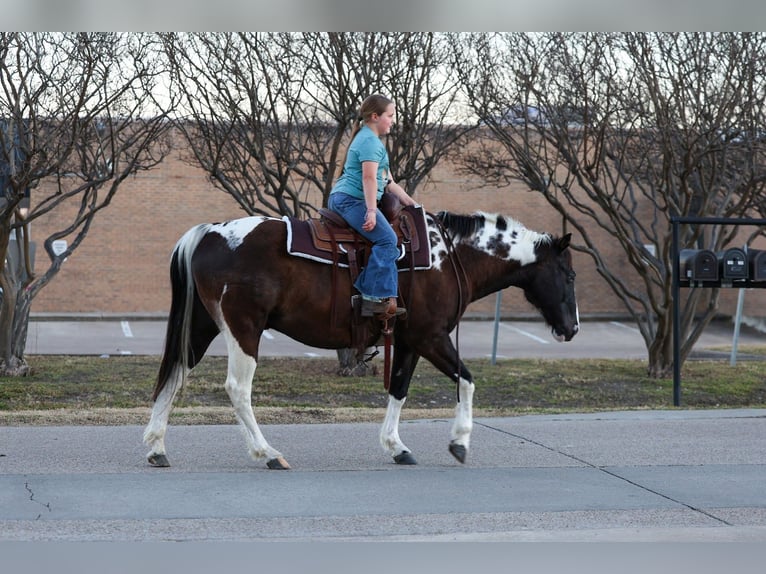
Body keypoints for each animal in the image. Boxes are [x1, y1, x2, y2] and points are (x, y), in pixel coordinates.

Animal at [143, 209, 580, 469]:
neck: (448, 257)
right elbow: (467, 381)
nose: (572, 329)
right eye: (570, 275)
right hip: (244, 328)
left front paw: (396, 446)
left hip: (204, 326)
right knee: (237, 388)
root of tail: (209, 233)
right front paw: (459, 442)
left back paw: (157, 448)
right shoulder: (431, 336)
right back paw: (267, 453)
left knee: (175, 374)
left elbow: (399, 389)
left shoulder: (408, 341)